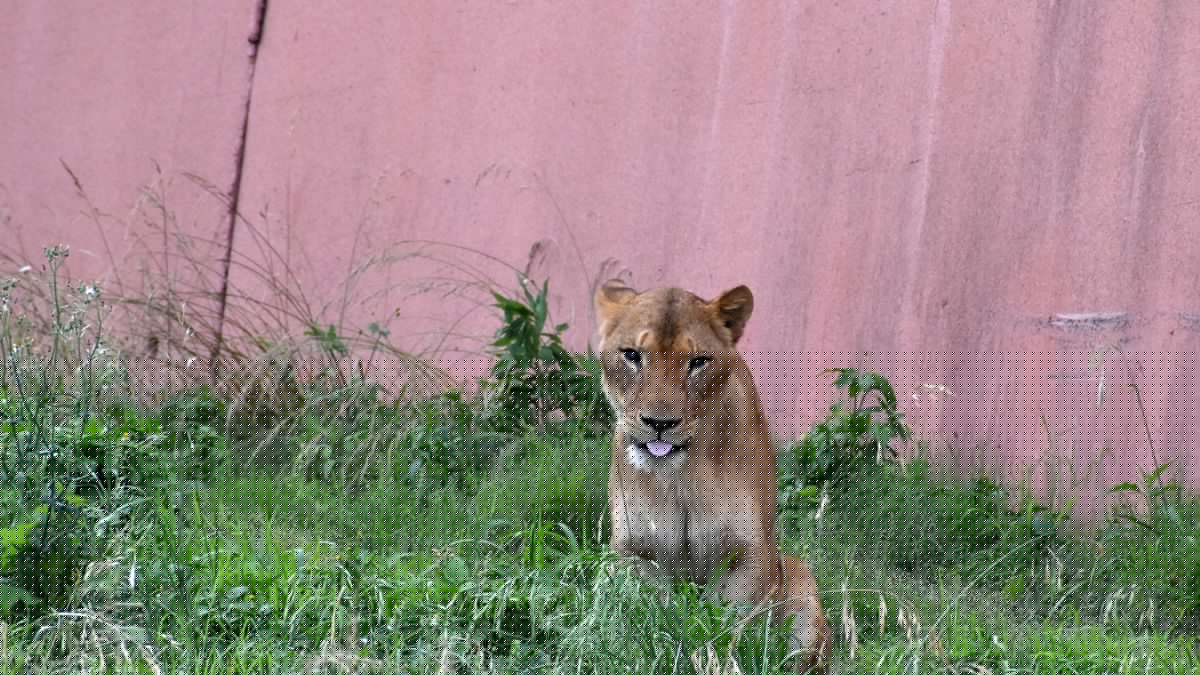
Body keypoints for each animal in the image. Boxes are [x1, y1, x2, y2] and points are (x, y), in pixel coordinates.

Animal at [594, 280, 830, 674]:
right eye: (631, 355)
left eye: (698, 362)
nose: (659, 423)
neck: (681, 479)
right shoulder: (634, 551)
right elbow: (641, 620)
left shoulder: (749, 554)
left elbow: (728, 629)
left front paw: (717, 660)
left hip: (799, 577)